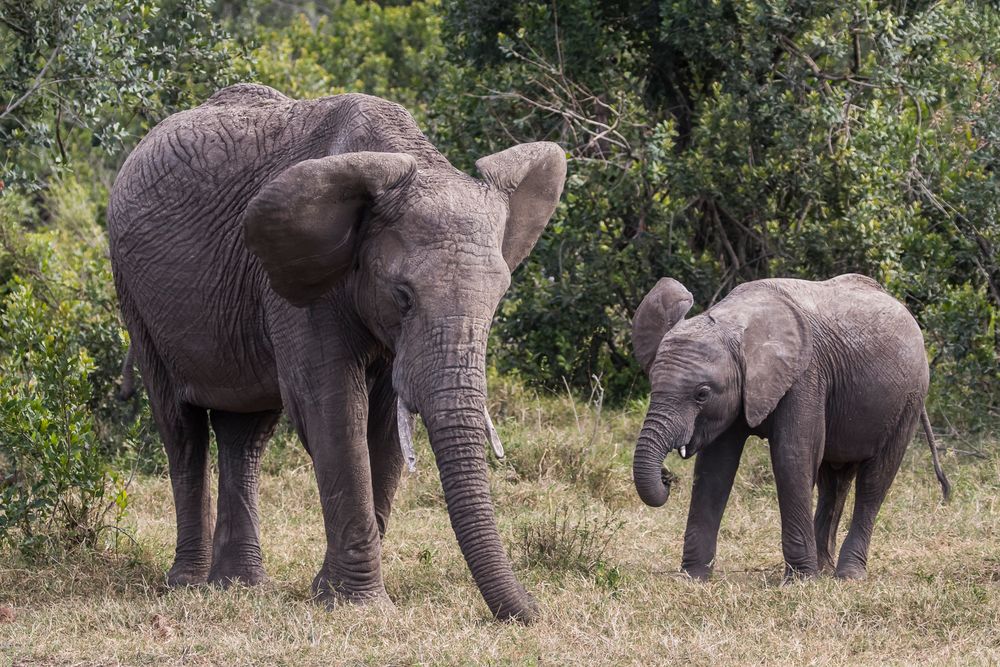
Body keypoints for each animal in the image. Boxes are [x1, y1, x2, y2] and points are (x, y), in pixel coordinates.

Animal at [109, 82, 568, 620]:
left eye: (499, 300)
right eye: (403, 297)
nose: (534, 612)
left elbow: (387, 427)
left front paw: (332, 591)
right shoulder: (303, 281)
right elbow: (332, 409)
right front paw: (357, 604)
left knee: (246, 434)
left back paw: (239, 586)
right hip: (133, 295)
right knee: (181, 429)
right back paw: (186, 584)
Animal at [628, 274, 948, 580]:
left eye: (702, 394)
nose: (666, 476)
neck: (735, 323)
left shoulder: (805, 376)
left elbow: (792, 458)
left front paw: (800, 581)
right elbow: (715, 469)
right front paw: (692, 578)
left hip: (909, 398)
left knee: (874, 480)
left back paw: (848, 575)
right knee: (834, 480)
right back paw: (825, 569)